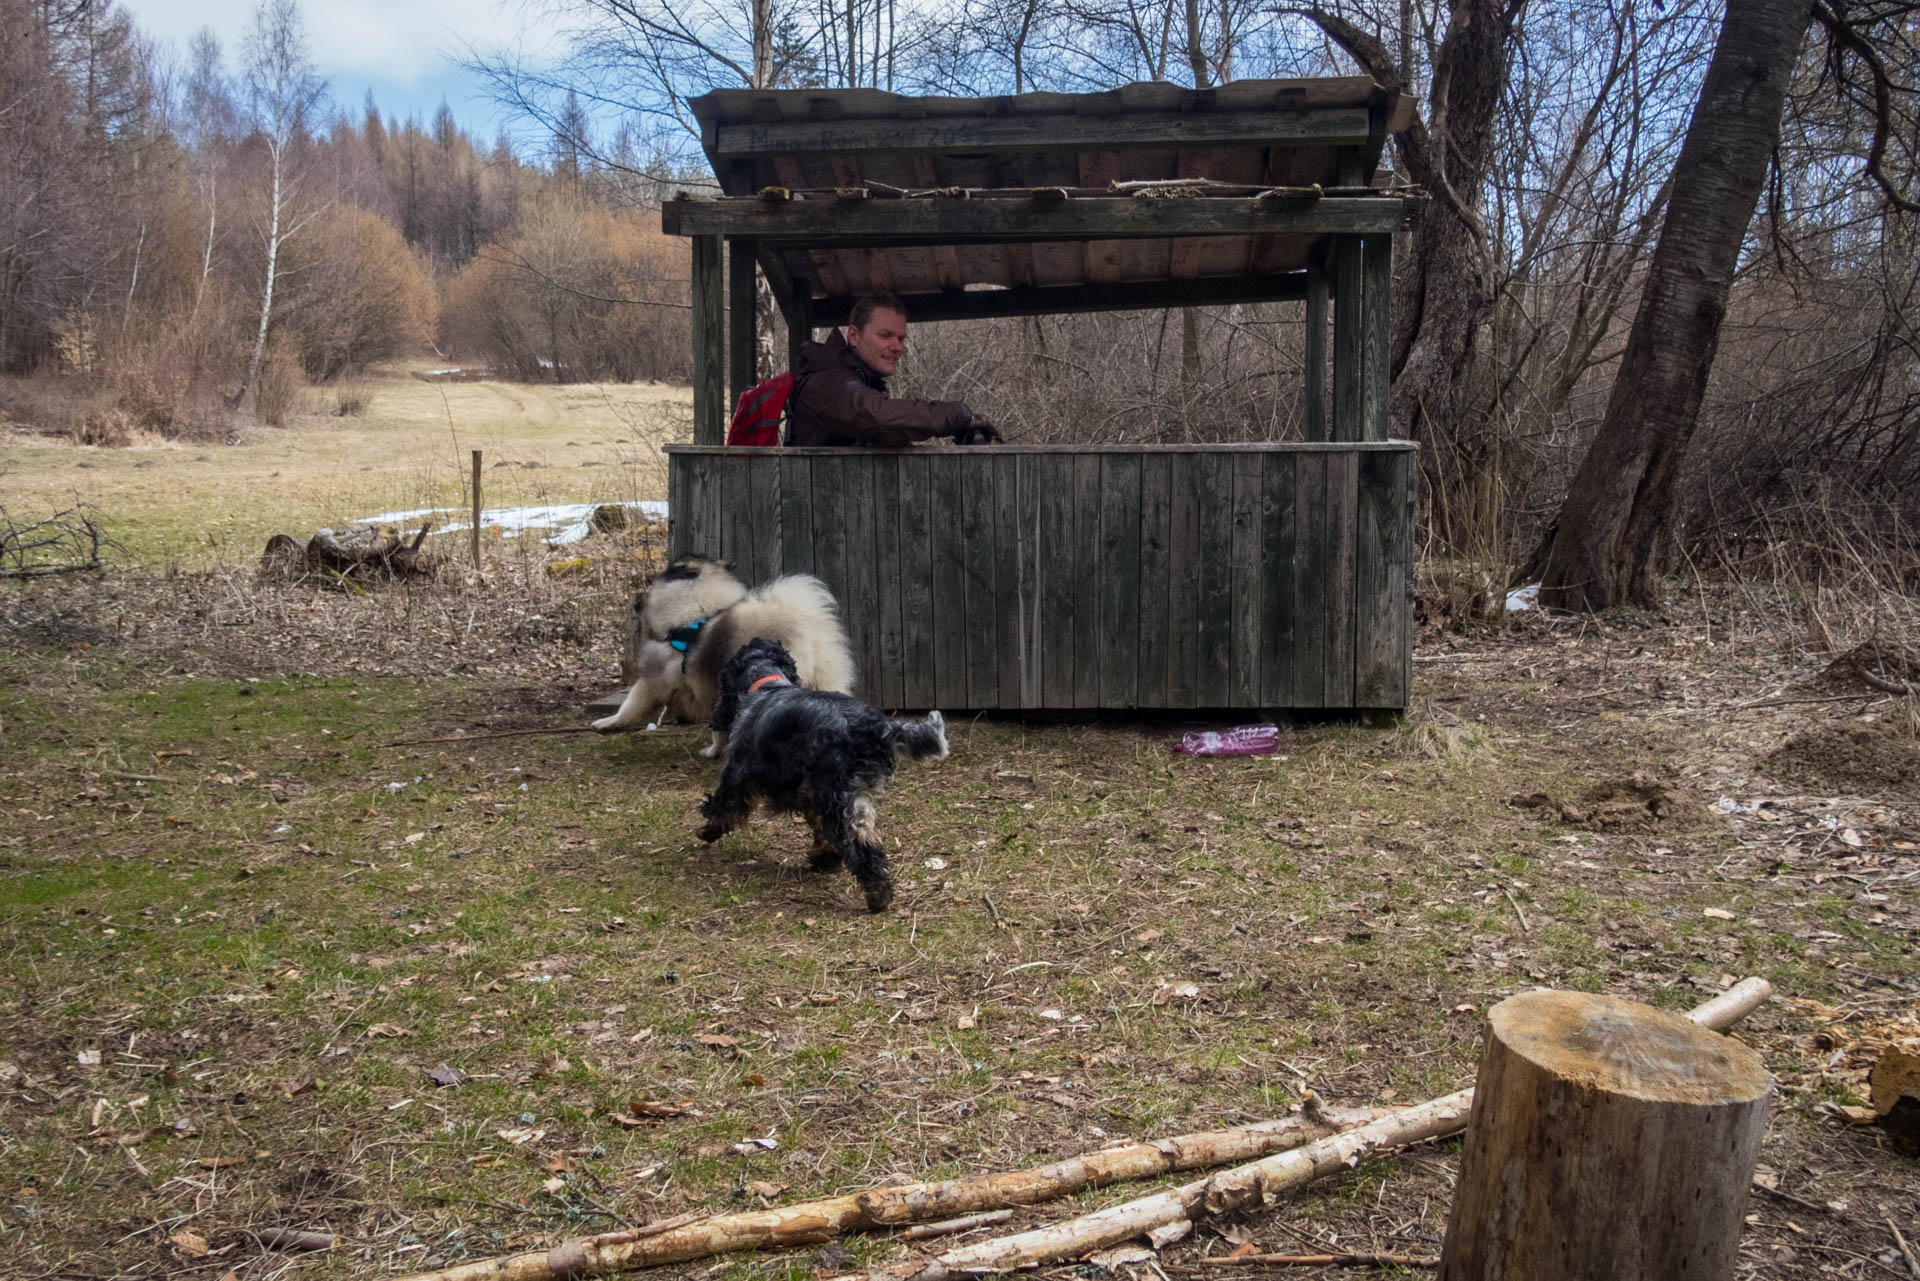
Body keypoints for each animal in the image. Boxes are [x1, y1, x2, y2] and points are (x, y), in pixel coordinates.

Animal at [702, 637, 948, 918]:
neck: (768, 684)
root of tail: (877, 726)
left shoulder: (739, 771)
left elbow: (725, 805)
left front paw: (708, 830)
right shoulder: (808, 792)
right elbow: (817, 826)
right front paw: (824, 857)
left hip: (837, 795)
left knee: (857, 845)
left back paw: (877, 896)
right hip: (852, 795)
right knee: (864, 839)